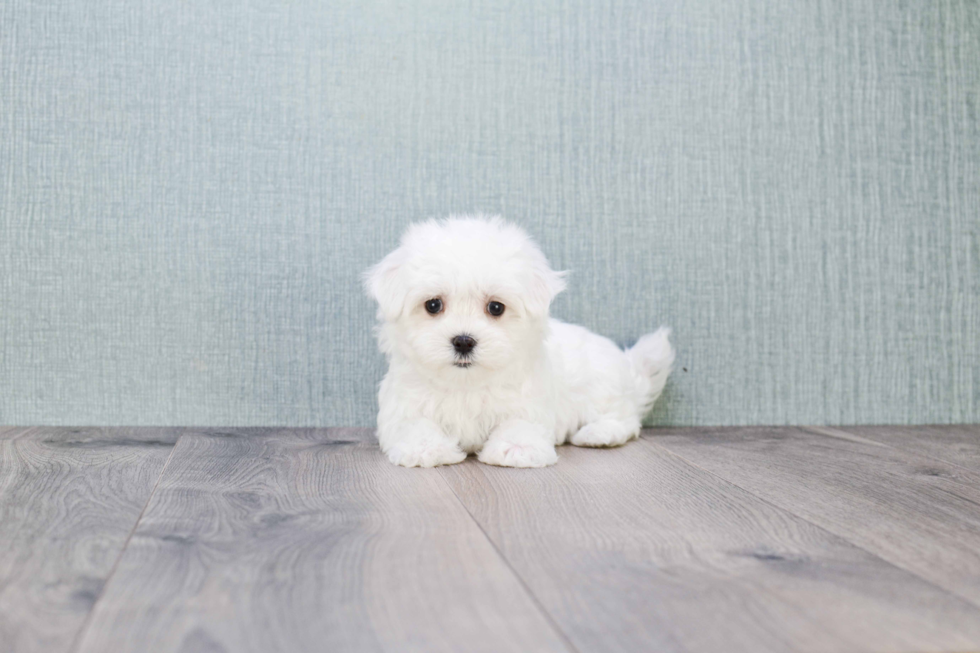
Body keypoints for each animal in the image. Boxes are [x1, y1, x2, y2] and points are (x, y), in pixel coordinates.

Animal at [366, 216, 672, 466]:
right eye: (433, 305)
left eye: (496, 308)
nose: (463, 341)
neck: (466, 384)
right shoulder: (403, 404)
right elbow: (413, 425)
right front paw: (426, 448)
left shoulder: (528, 402)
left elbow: (520, 423)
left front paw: (515, 448)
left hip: (602, 387)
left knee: (625, 418)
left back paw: (599, 433)